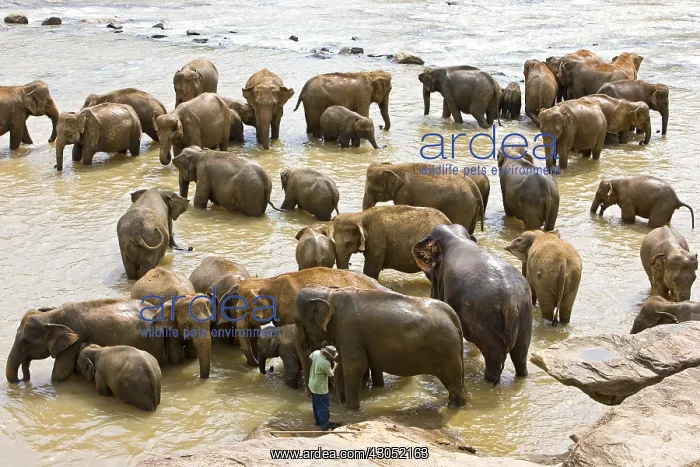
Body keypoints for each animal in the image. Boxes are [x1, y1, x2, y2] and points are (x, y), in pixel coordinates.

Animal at [294, 285, 467, 410]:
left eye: (297, 321)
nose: (306, 395)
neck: (330, 293)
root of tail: (453, 315)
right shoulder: (345, 335)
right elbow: (345, 365)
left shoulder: (349, 330)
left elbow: (355, 366)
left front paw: (352, 410)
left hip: (446, 350)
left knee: (452, 379)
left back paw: (452, 406)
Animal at [412, 224, 533, 383]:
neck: (455, 236)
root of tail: (511, 302)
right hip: (525, 315)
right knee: (521, 354)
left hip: (485, 319)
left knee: (493, 358)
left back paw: (488, 380)